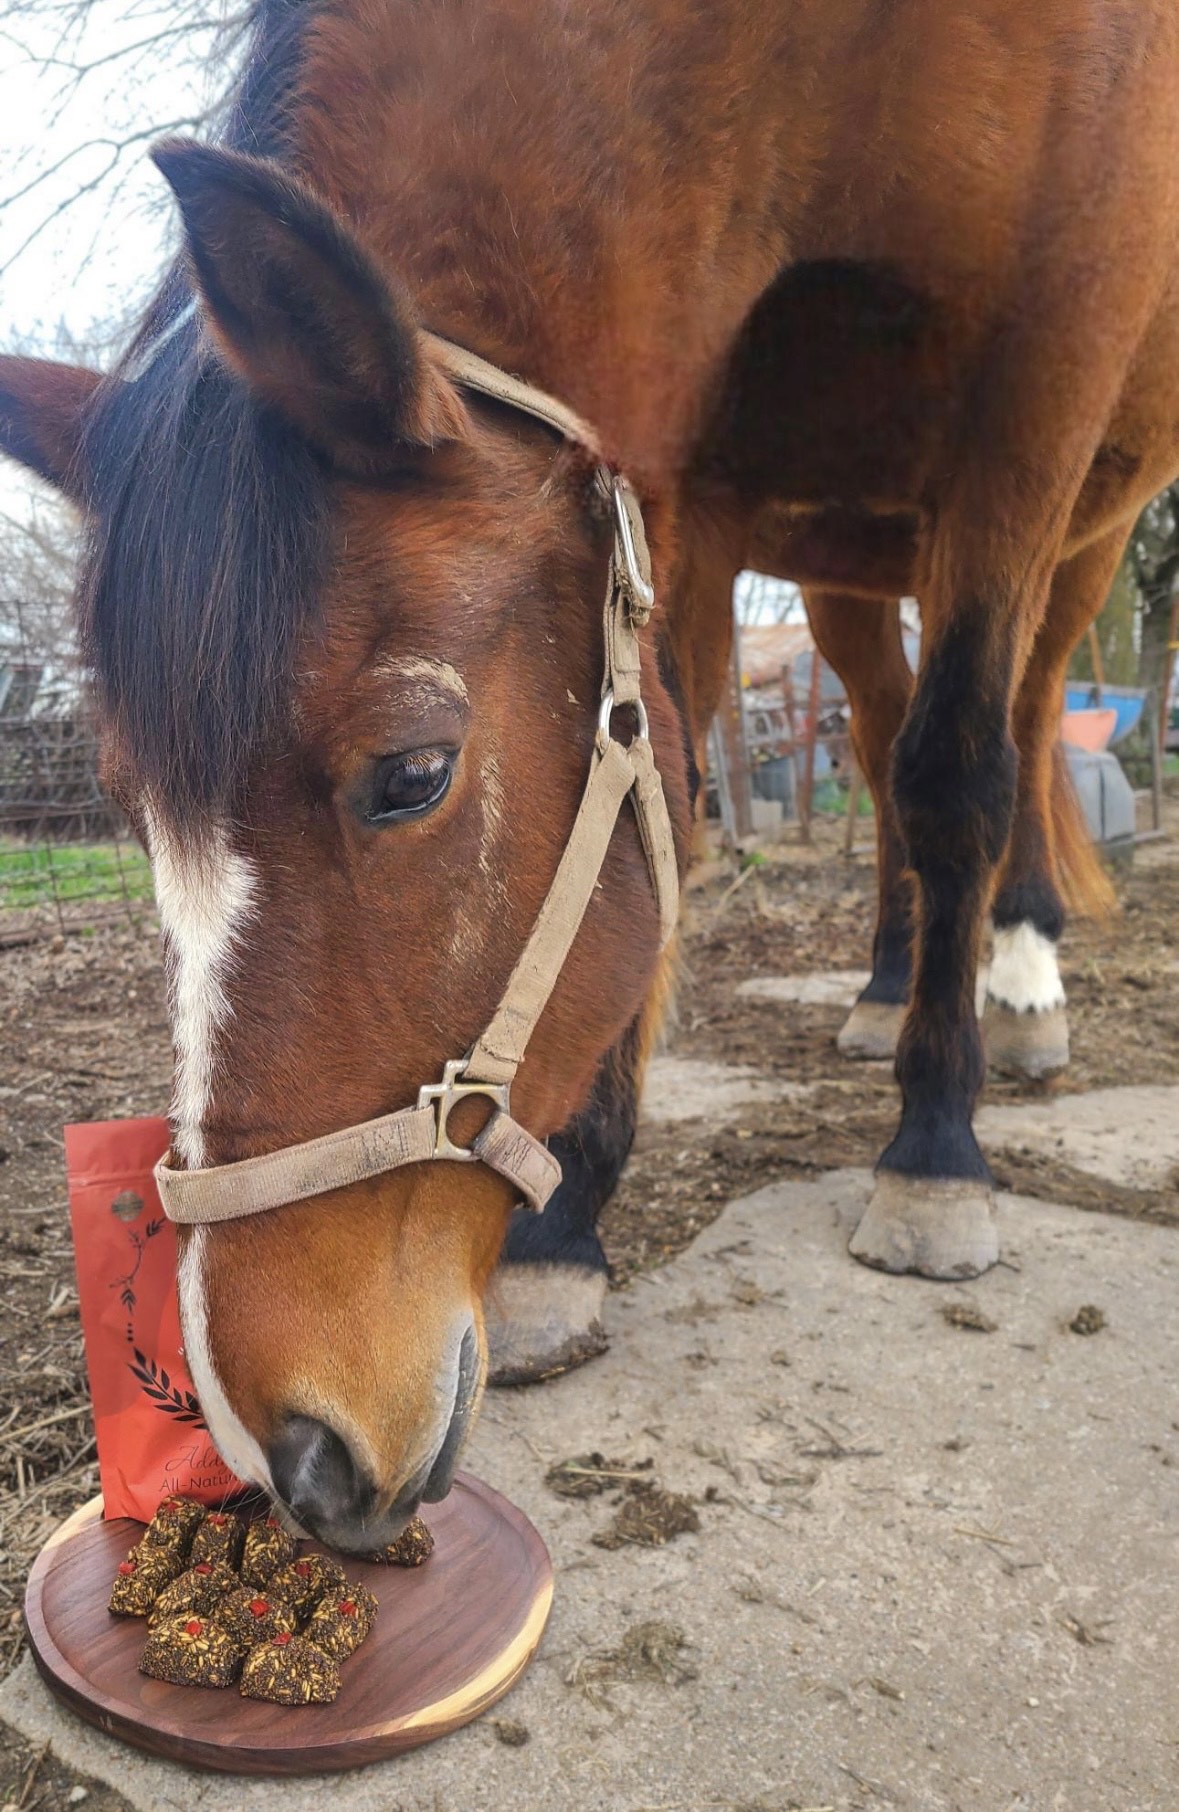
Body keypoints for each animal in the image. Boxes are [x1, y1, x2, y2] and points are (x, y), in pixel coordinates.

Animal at [3, 0, 1178, 1552]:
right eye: (131, 817)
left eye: (411, 774)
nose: (292, 1458)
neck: (838, 57)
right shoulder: (688, 460)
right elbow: (671, 799)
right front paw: (569, 1232)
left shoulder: (1037, 374)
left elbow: (956, 775)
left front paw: (934, 1150)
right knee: (872, 740)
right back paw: (878, 988)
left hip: (1080, 527)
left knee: (1012, 723)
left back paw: (1019, 984)